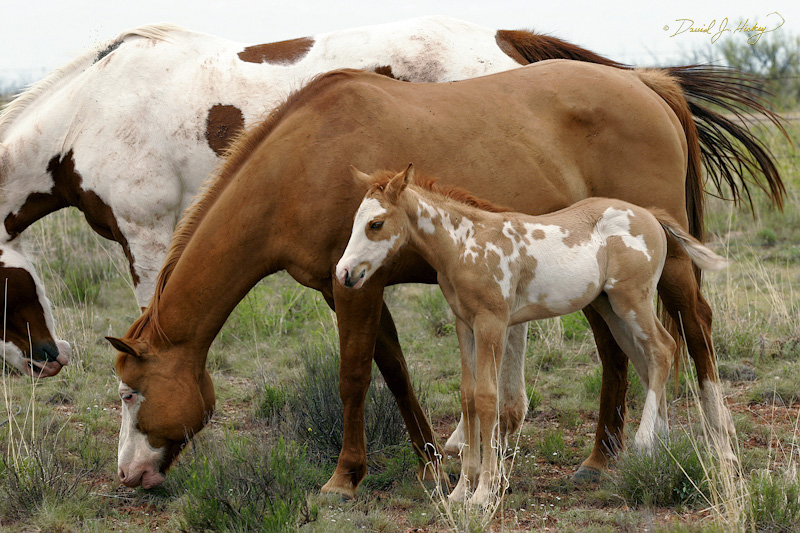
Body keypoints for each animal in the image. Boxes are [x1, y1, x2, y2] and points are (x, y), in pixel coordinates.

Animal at [336, 165, 728, 504]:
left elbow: (487, 398)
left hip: (633, 299)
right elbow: (467, 396)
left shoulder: (492, 322)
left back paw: (646, 442)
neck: (465, 243)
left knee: (664, 348)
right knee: (648, 362)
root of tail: (649, 215)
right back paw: (660, 449)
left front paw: (483, 494)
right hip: (610, 307)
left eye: (376, 223)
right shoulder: (465, 325)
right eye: (353, 221)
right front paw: (461, 492)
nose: (344, 273)